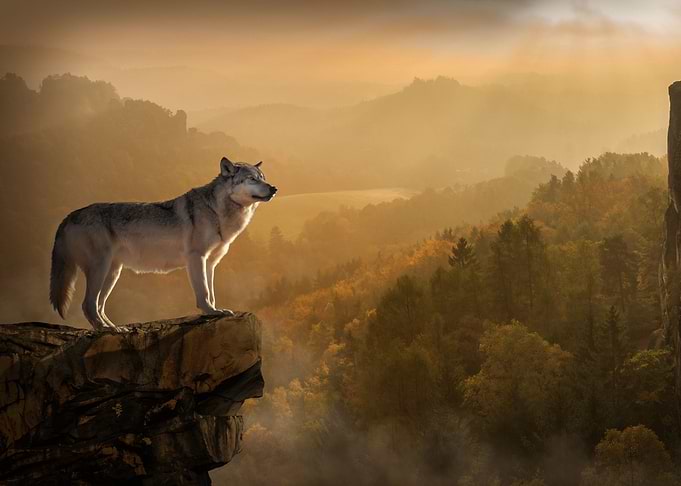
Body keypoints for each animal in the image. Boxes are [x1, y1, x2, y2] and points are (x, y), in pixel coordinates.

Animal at [49, 156, 277, 331]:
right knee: (88, 304)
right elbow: (203, 292)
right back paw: (107, 330)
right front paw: (210, 312)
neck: (217, 211)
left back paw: (114, 328)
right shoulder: (196, 258)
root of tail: (69, 216)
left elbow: (211, 292)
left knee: (99, 306)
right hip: (101, 269)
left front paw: (215, 310)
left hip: (113, 273)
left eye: (263, 178)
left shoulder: (210, 263)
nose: (274, 188)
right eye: (251, 179)